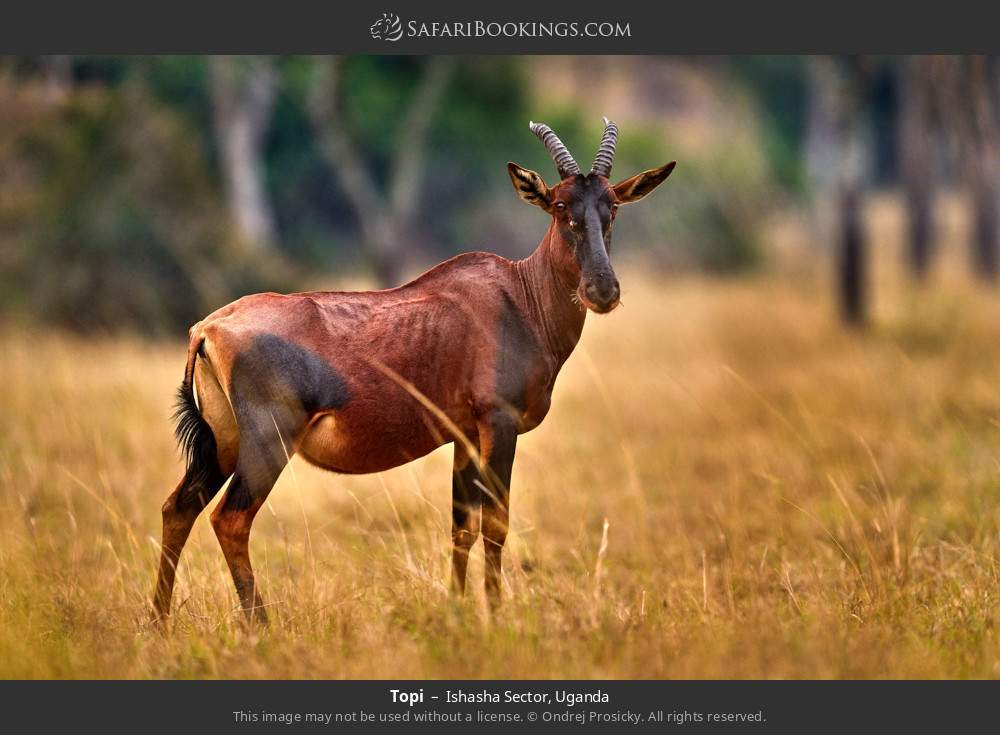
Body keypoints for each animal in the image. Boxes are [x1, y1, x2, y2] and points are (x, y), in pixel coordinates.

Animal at [152, 118, 676, 624]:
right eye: (560, 204)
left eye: (612, 207)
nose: (602, 290)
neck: (519, 296)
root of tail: (209, 327)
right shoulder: (498, 423)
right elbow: (496, 523)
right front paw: (496, 616)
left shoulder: (465, 436)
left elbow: (462, 525)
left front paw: (457, 610)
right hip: (266, 444)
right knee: (230, 520)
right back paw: (259, 625)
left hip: (224, 443)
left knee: (179, 509)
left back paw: (159, 623)